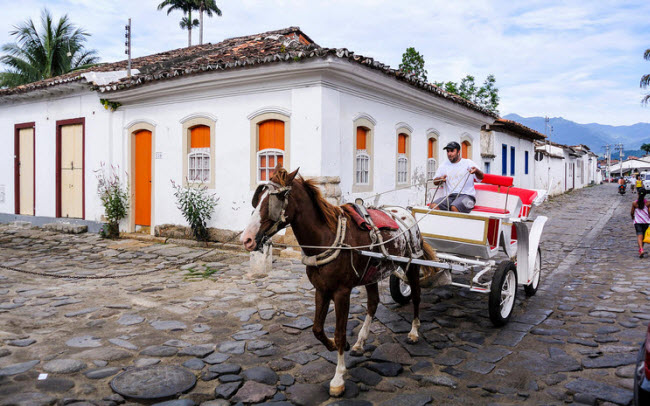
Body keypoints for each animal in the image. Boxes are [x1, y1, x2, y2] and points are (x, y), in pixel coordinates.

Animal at [239, 167, 436, 398]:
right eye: (257, 199)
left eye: (275, 199)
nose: (247, 239)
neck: (327, 237)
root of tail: (405, 212)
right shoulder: (321, 290)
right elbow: (317, 329)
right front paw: (335, 346)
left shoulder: (342, 292)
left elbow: (340, 333)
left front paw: (338, 378)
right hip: (372, 273)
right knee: (373, 303)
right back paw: (360, 341)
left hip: (412, 264)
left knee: (416, 296)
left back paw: (414, 331)